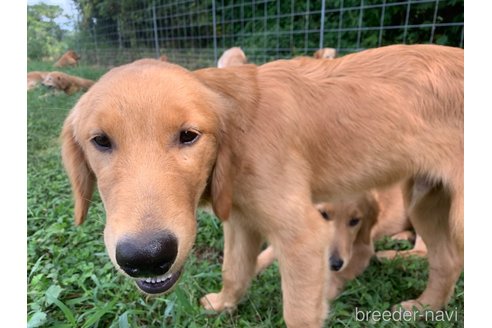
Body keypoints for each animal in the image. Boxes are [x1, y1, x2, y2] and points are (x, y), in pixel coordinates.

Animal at [60, 44, 462, 328]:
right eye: (100, 141)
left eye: (189, 136)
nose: (146, 258)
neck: (240, 135)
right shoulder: (240, 219)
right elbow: (234, 270)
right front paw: (223, 304)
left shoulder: (304, 237)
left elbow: (298, 314)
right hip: (425, 199)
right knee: (447, 260)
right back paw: (424, 308)